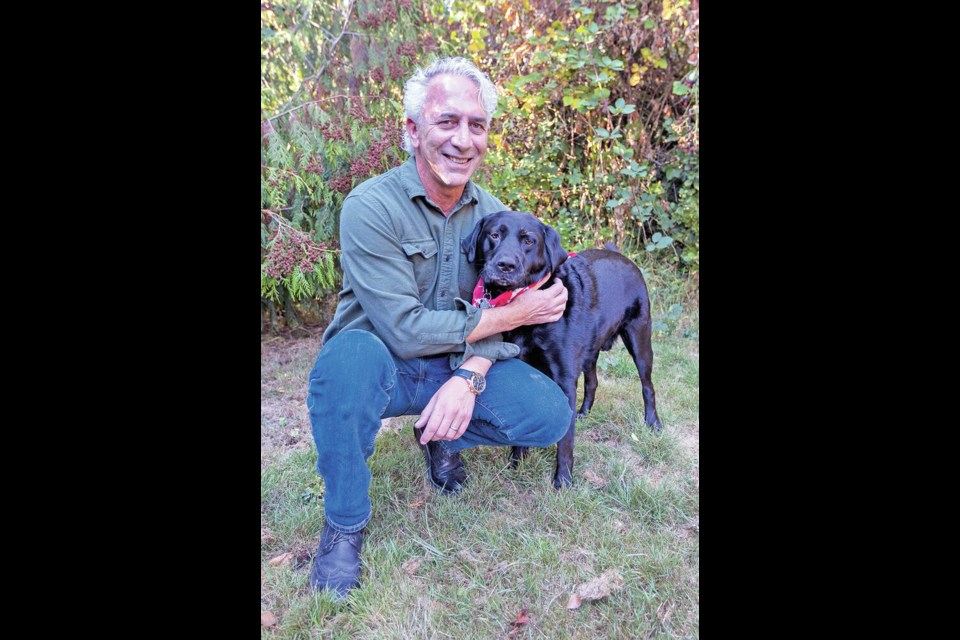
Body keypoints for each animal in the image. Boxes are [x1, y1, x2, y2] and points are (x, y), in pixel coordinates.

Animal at [464, 210, 660, 484]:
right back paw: (584, 413)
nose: (505, 265)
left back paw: (653, 424)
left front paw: (563, 480)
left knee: (647, 386)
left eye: (529, 241)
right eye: (493, 235)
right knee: (592, 381)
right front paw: (517, 462)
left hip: (639, 339)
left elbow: (566, 440)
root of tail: (621, 255)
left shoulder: (565, 378)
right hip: (590, 349)